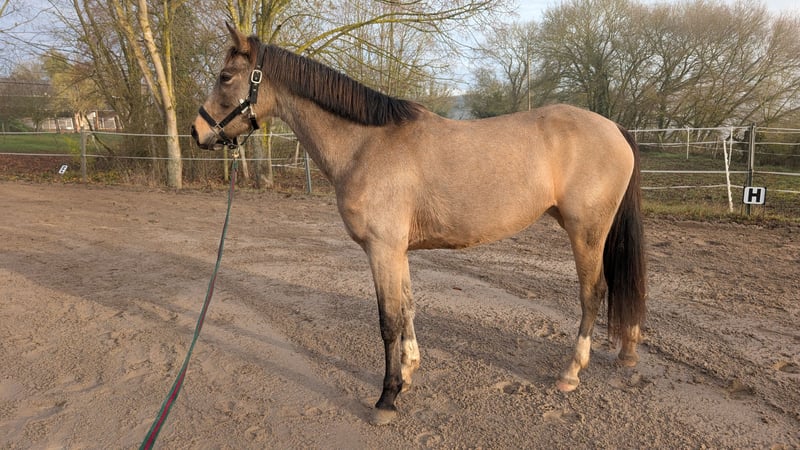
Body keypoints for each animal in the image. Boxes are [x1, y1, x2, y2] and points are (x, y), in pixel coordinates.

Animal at [192, 23, 647, 425]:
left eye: (225, 76)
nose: (198, 132)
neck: (366, 144)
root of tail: (615, 127)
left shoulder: (381, 248)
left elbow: (388, 320)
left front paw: (387, 398)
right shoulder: (398, 250)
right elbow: (408, 307)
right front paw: (409, 371)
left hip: (587, 233)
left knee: (593, 293)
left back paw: (571, 373)